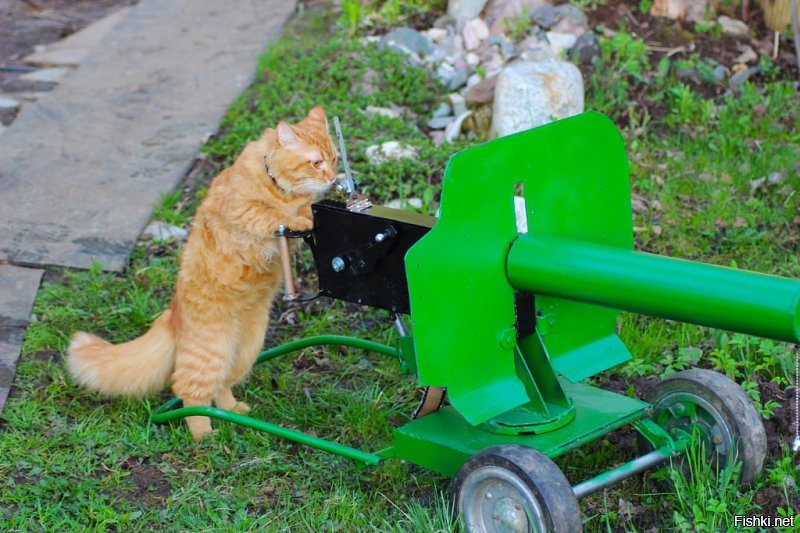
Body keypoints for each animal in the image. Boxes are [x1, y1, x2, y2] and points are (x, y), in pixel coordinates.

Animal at [67, 105, 340, 440]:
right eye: (316, 162)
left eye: (335, 159)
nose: (333, 178)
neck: (281, 189)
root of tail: (172, 313)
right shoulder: (242, 211)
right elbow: (269, 214)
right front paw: (299, 219)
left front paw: (306, 214)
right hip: (210, 354)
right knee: (190, 393)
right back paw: (205, 437)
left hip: (246, 349)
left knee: (221, 388)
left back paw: (234, 412)